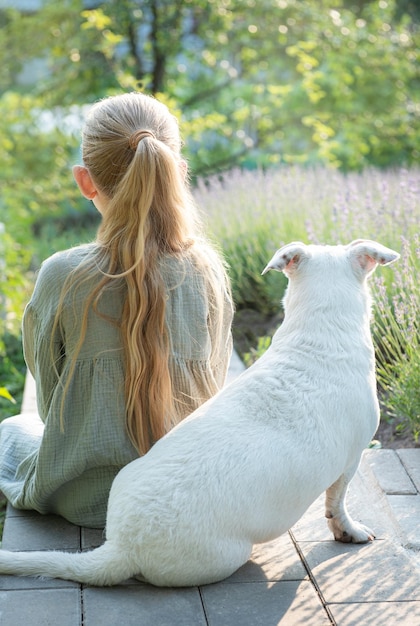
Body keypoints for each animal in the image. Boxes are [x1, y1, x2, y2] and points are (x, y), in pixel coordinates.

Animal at [0, 238, 400, 584]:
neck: (320, 331)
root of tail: (122, 547)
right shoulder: (351, 460)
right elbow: (338, 501)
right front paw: (348, 531)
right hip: (229, 554)